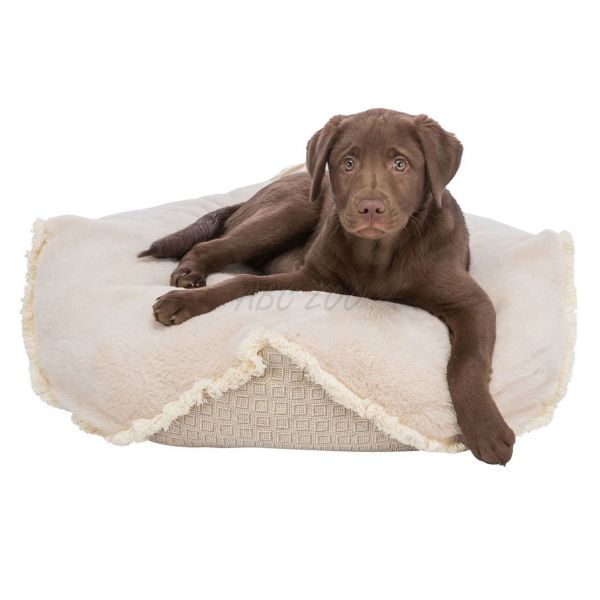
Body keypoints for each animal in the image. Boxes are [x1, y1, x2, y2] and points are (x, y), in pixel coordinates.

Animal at [139, 108, 516, 464]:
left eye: (400, 164)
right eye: (348, 163)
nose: (370, 208)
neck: (379, 254)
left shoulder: (471, 302)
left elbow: (466, 362)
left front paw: (486, 429)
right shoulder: (311, 277)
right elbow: (244, 281)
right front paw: (184, 302)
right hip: (294, 208)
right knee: (212, 246)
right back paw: (189, 273)